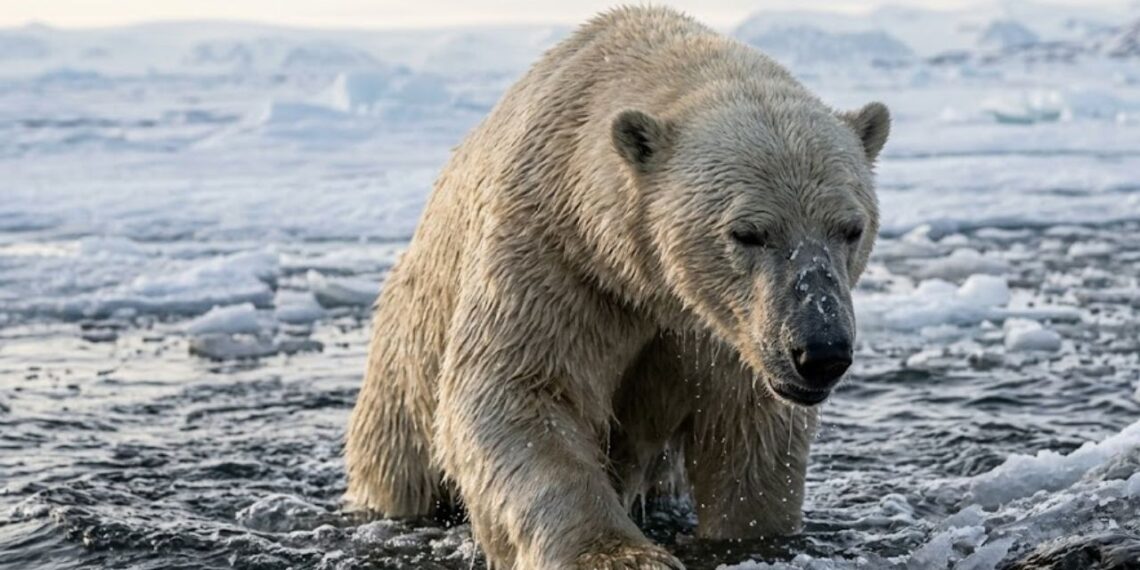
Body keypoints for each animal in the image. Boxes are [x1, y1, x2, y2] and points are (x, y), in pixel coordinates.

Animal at [346, 6, 889, 569]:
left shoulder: (726, 331)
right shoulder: (556, 257)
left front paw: (756, 538)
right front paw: (620, 554)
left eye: (851, 228)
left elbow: (749, 435)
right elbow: (519, 389)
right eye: (748, 232)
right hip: (404, 368)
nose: (821, 350)